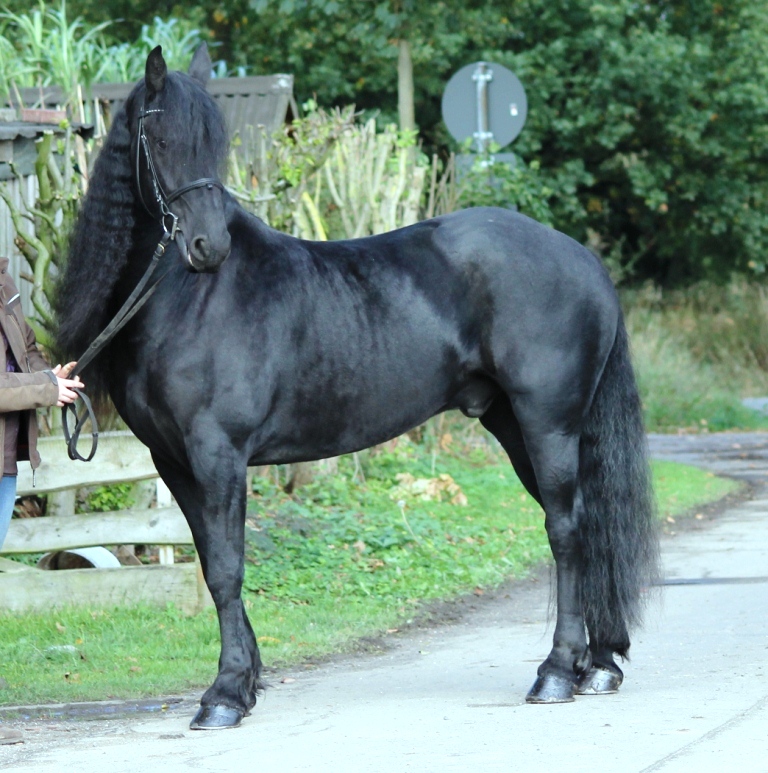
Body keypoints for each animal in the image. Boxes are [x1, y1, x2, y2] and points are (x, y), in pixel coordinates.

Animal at [56, 44, 659, 730]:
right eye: (158, 140)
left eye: (215, 142)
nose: (209, 247)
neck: (187, 298)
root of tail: (582, 259)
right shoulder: (174, 461)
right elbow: (212, 565)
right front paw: (247, 682)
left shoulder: (218, 455)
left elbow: (230, 568)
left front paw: (225, 695)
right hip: (516, 425)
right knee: (587, 527)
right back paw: (598, 665)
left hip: (547, 423)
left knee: (566, 530)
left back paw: (557, 672)